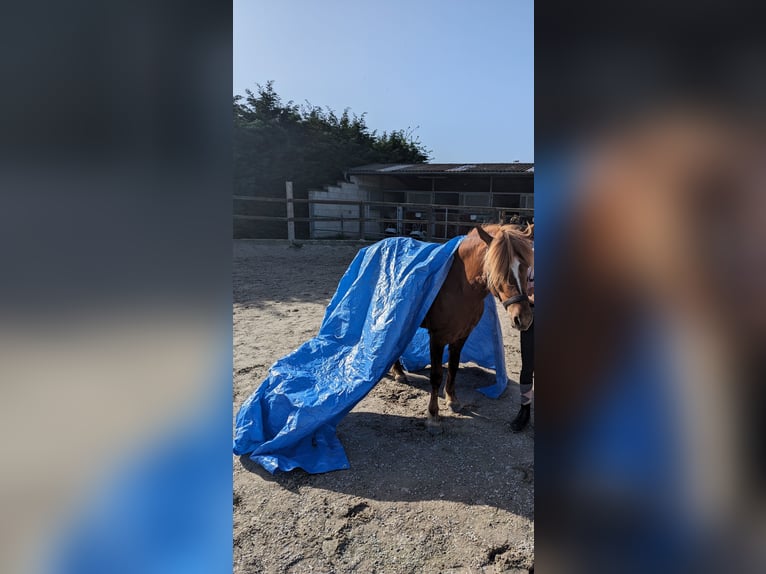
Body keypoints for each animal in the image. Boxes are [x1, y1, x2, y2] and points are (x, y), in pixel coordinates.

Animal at [391, 223, 534, 423]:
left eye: (526, 268)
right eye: (499, 270)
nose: (524, 318)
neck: (459, 286)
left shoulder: (461, 336)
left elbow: (453, 367)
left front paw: (452, 400)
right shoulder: (437, 338)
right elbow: (436, 375)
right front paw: (433, 412)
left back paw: (399, 372)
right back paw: (398, 372)